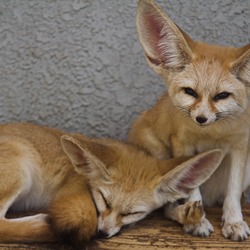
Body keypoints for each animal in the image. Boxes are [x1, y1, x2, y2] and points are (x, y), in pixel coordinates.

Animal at [0, 123, 223, 244]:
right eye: (104, 201)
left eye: (133, 213)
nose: (102, 233)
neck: (80, 171)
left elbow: (169, 209)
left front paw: (191, 217)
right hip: (22, 168)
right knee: (2, 225)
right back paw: (43, 223)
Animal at [130, 0, 250, 242]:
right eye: (190, 92)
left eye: (222, 96)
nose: (201, 118)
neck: (212, 133)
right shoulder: (183, 144)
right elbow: (192, 186)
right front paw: (198, 220)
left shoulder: (240, 147)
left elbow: (232, 193)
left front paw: (234, 222)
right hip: (160, 153)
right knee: (165, 206)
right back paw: (187, 215)